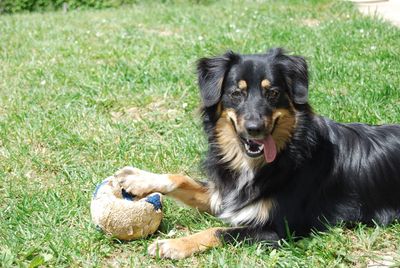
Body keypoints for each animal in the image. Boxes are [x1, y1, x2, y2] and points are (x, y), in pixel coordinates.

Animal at [115, 48, 400, 260]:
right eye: (236, 93)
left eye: (272, 93)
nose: (254, 129)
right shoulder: (228, 195)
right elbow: (181, 178)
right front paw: (138, 179)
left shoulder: (279, 230)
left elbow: (219, 230)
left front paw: (174, 244)